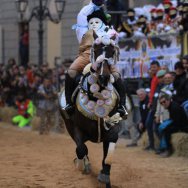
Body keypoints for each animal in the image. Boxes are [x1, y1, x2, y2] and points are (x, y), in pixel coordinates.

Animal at [58, 32, 126, 188]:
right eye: (96, 50)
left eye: (112, 52)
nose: (104, 77)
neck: (97, 96)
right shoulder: (76, 128)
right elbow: (81, 149)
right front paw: (82, 165)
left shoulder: (112, 128)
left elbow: (108, 156)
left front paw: (104, 176)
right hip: (68, 125)